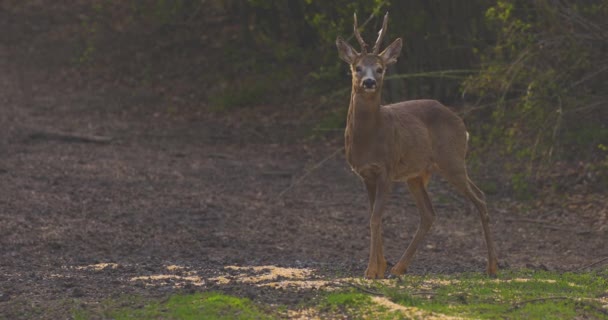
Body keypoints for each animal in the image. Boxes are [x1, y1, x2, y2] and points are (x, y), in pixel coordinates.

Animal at [338, 11, 498, 278]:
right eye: (357, 67)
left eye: (380, 69)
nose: (369, 82)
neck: (368, 140)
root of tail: (461, 123)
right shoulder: (365, 174)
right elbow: (373, 216)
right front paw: (380, 267)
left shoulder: (387, 168)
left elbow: (376, 217)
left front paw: (371, 270)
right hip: (417, 174)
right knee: (429, 213)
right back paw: (399, 267)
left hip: (452, 160)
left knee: (480, 197)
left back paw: (492, 267)